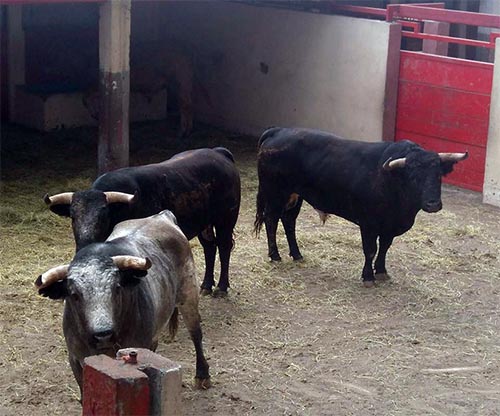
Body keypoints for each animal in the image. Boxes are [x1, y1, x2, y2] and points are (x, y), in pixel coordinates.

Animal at [46, 148, 241, 294]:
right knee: (210, 247)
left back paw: (222, 287)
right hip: (205, 223)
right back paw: (206, 285)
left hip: (226, 218)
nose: (84, 244)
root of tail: (218, 152)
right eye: (73, 216)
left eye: (103, 215)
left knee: (224, 247)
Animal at [254, 128, 468, 288]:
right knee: (271, 220)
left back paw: (297, 254)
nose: (433, 204)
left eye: (438, 175)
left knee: (289, 221)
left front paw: (381, 271)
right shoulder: (369, 224)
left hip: (295, 196)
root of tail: (278, 130)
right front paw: (368, 277)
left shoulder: (389, 227)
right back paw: (275, 255)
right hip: (275, 193)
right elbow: (371, 249)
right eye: (413, 176)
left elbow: (384, 248)